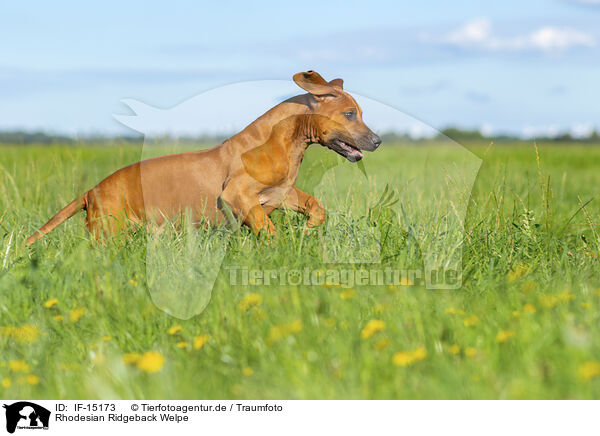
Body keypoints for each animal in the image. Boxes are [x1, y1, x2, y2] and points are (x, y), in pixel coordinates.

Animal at [25, 70, 382, 244]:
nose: (377, 141)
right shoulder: (239, 195)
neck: (286, 140)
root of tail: (90, 192)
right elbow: (268, 231)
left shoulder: (281, 194)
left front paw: (306, 233)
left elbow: (316, 208)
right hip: (107, 233)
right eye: (350, 114)